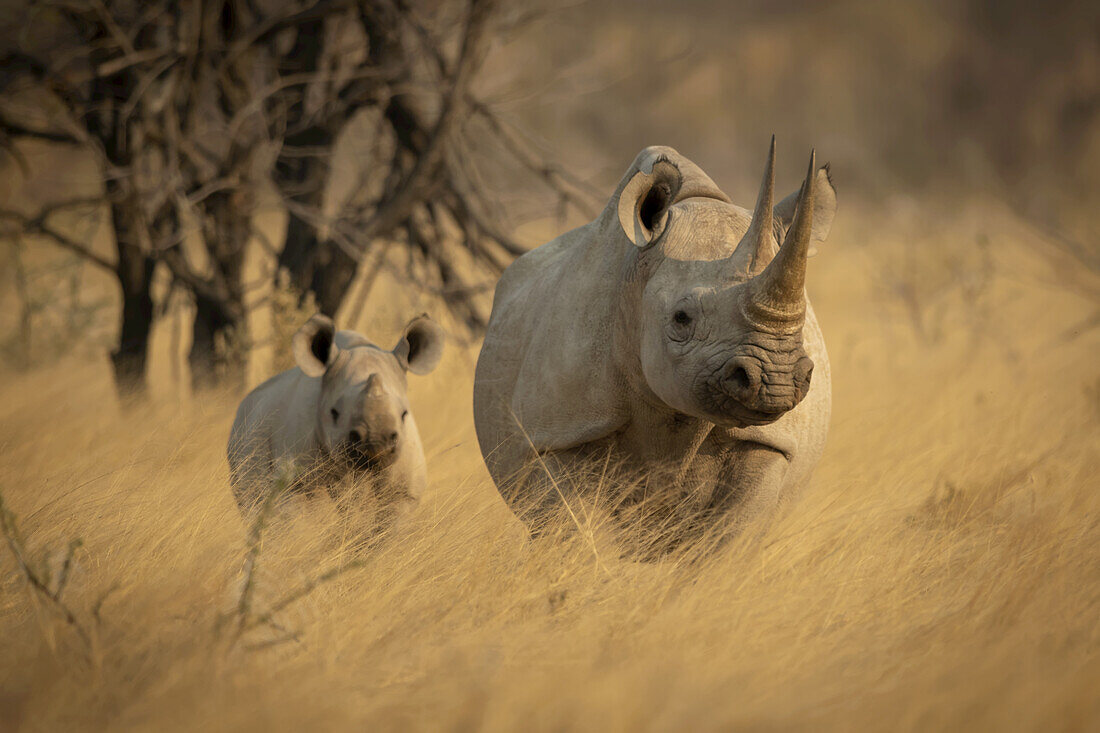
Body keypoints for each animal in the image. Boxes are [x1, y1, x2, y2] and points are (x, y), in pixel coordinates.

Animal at [470, 139, 831, 545]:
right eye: (681, 318)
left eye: (802, 321)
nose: (777, 379)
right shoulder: (560, 433)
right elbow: (575, 532)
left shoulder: (769, 443)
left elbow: (731, 536)